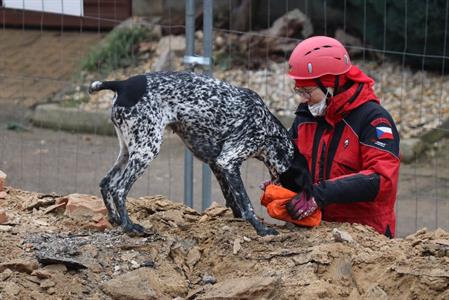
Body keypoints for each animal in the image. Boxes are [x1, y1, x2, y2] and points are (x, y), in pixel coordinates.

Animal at [88, 71, 308, 237]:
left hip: (128, 151)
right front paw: (261, 229)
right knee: (119, 189)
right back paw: (130, 226)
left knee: (106, 183)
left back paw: (115, 219)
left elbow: (232, 199)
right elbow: (247, 204)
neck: (269, 131)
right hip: (146, 150)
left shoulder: (217, 164)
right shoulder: (228, 161)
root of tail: (121, 84)